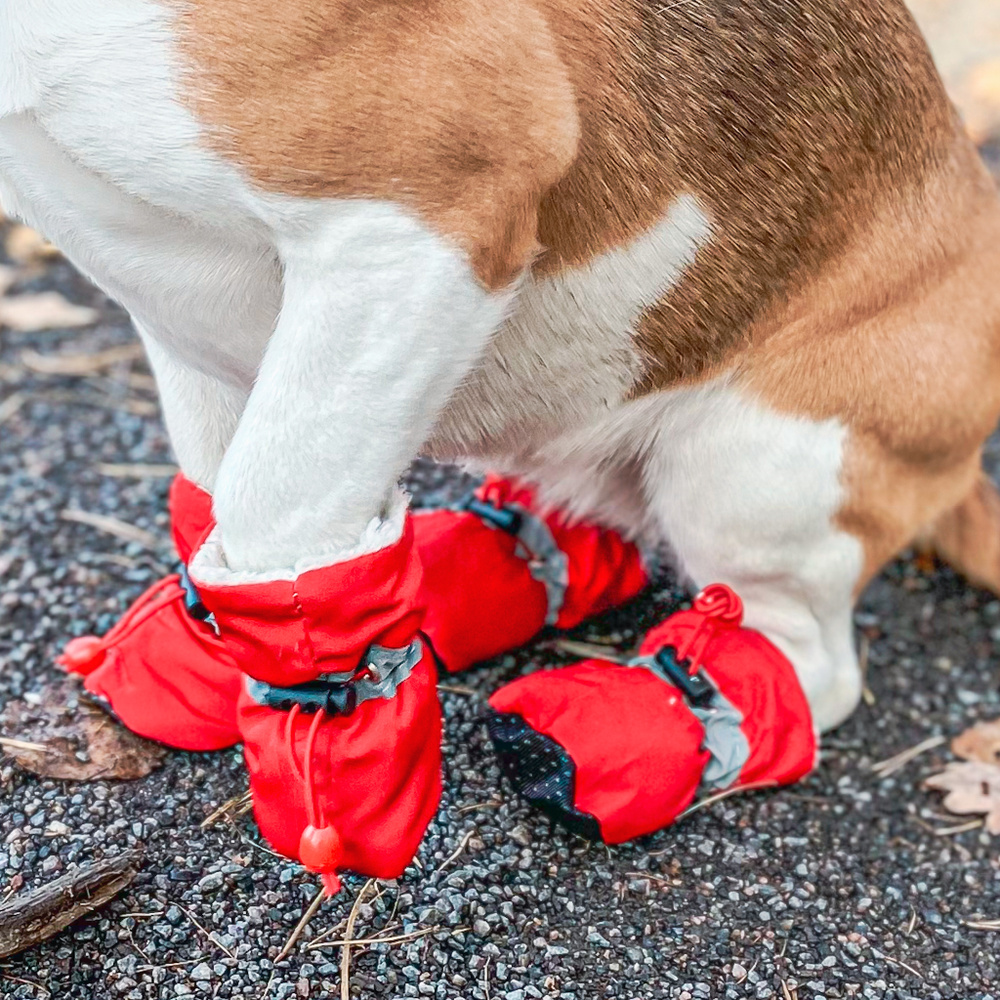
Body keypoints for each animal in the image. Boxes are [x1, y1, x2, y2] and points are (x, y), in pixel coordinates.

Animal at [1, 3, 1000, 884]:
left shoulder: (407, 224)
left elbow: (274, 515)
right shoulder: (189, 331)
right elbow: (216, 496)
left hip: (751, 461)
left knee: (799, 651)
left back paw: (652, 716)